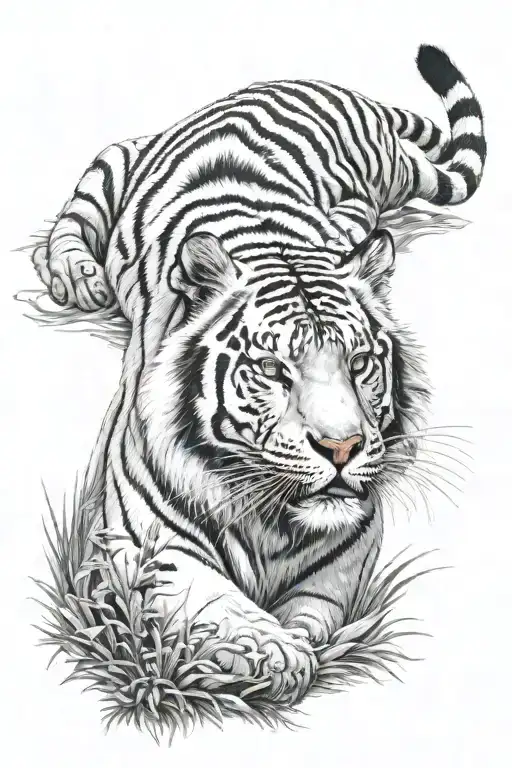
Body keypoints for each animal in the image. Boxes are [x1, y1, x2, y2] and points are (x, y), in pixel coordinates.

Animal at [29, 44, 486, 705]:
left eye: (359, 362)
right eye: (273, 368)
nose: (342, 448)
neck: (274, 522)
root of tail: (325, 86)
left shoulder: (347, 553)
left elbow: (317, 609)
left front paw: (298, 643)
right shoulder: (146, 546)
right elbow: (216, 604)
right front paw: (271, 650)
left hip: (395, 168)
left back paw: (356, 222)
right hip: (115, 161)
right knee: (71, 220)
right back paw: (77, 275)